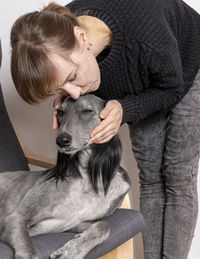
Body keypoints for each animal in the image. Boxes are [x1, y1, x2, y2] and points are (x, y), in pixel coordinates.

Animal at [0, 95, 131, 259]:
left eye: (87, 111)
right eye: (60, 112)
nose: (62, 140)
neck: (86, 178)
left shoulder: (71, 222)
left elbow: (104, 225)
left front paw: (72, 250)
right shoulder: (16, 218)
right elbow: (29, 251)